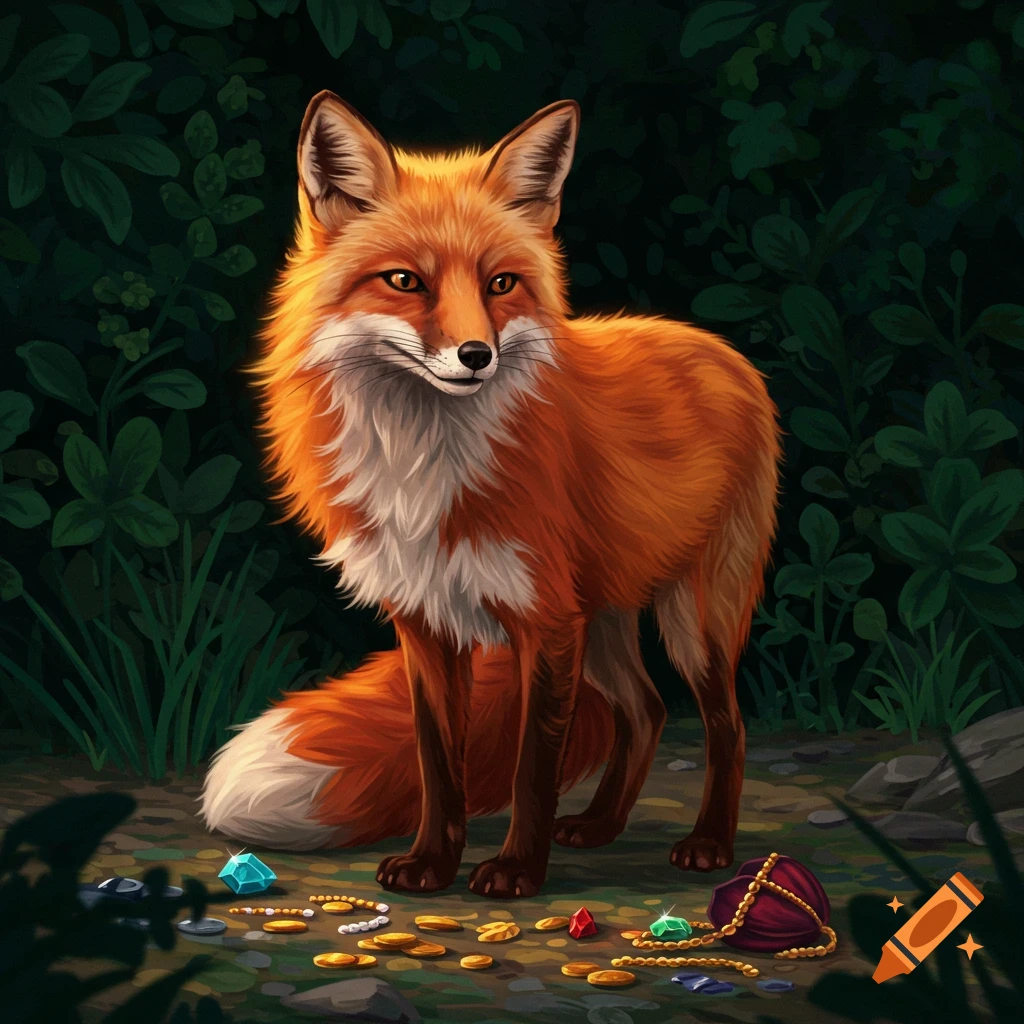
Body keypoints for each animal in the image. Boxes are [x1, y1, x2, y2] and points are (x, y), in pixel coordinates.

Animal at [199, 92, 782, 899]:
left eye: (500, 284)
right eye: (405, 281)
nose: (477, 356)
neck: (424, 464)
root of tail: (721, 350)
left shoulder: (546, 622)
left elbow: (533, 769)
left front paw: (515, 870)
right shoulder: (427, 622)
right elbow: (439, 764)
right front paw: (431, 863)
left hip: (692, 618)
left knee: (726, 723)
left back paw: (709, 843)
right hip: (603, 618)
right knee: (645, 709)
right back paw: (600, 824)